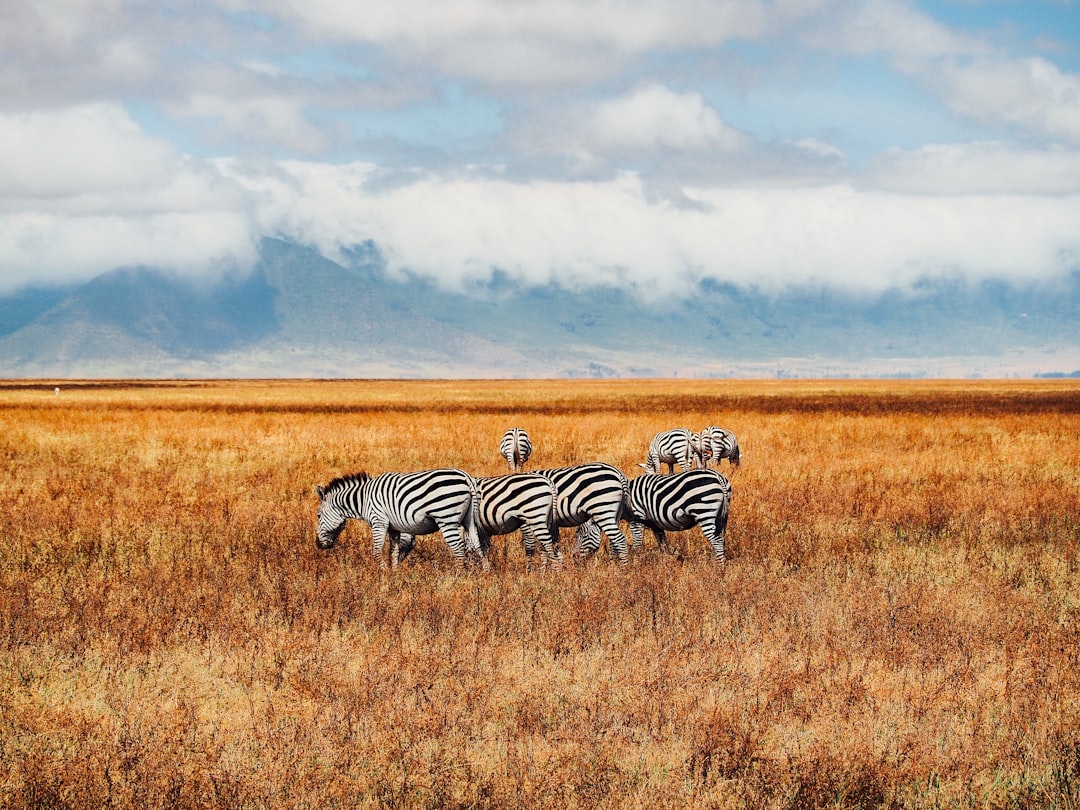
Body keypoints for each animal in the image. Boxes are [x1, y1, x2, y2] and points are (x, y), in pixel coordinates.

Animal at [315, 469, 485, 569]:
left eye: (318, 516)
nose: (318, 545)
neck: (363, 499)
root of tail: (466, 477)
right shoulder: (394, 528)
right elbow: (394, 553)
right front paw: (394, 575)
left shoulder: (379, 522)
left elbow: (376, 552)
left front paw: (383, 575)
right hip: (469, 519)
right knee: (477, 544)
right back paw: (485, 574)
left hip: (446, 518)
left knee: (458, 549)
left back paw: (458, 577)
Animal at [576, 470, 732, 563]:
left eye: (581, 535)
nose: (574, 559)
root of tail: (718, 477)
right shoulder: (656, 524)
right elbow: (663, 545)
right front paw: (668, 562)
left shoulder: (637, 519)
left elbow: (638, 544)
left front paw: (636, 563)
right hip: (720, 517)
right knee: (722, 539)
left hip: (704, 512)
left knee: (717, 540)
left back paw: (719, 568)